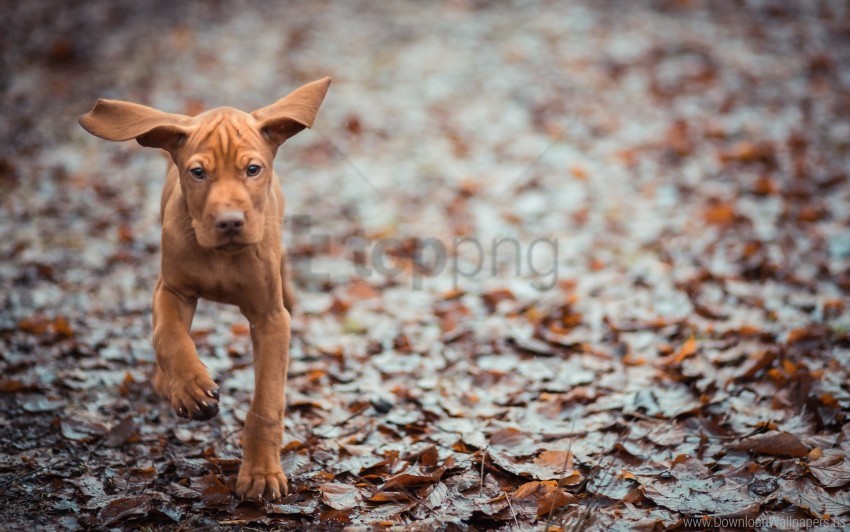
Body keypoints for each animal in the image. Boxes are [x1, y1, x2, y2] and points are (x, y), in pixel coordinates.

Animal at [78, 77, 332, 500]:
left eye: (252, 169)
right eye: (198, 172)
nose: (229, 222)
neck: (221, 257)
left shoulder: (270, 318)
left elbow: (266, 401)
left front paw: (261, 474)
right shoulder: (172, 290)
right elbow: (168, 336)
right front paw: (191, 387)